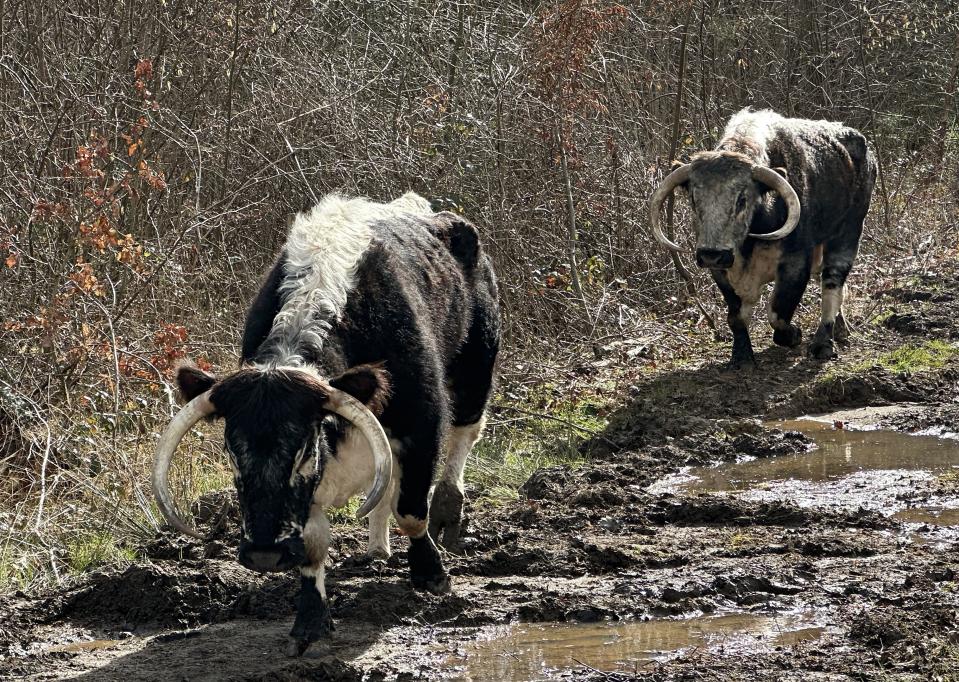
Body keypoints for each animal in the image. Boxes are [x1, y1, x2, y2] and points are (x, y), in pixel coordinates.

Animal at [154, 191, 498, 652]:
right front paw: (311, 620)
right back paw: (376, 548)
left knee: (465, 434)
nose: (264, 553)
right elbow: (315, 541)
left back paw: (448, 507)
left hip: (477, 362)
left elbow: (411, 509)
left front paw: (431, 574)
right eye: (231, 449)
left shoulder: (423, 422)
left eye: (304, 447)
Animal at [652, 109, 876, 366]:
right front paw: (741, 356)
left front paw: (794, 335)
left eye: (741, 199)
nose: (711, 255)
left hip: (848, 233)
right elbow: (736, 316)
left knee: (832, 283)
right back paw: (840, 329)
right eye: (693, 199)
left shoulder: (795, 263)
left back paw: (823, 343)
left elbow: (777, 312)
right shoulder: (721, 273)